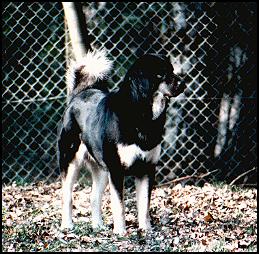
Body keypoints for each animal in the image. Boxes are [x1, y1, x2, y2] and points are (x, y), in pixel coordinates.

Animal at [58, 48, 186, 235]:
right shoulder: (117, 171)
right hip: (71, 161)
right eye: (161, 73)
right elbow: (119, 205)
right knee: (67, 195)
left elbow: (144, 205)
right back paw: (67, 225)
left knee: (94, 197)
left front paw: (146, 230)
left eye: (172, 70)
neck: (141, 113)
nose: (183, 84)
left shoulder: (146, 169)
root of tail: (78, 95)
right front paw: (120, 232)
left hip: (102, 170)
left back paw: (98, 226)